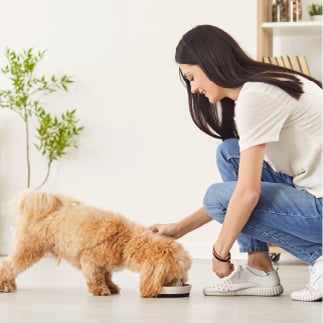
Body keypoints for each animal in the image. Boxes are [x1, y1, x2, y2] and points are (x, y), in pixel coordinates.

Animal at [0, 191, 192, 300]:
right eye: (176, 275)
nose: (183, 282)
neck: (126, 241)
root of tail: (43, 212)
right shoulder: (90, 259)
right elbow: (96, 277)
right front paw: (100, 290)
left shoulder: (104, 265)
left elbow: (107, 275)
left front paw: (111, 287)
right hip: (29, 249)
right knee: (8, 265)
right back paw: (4, 285)